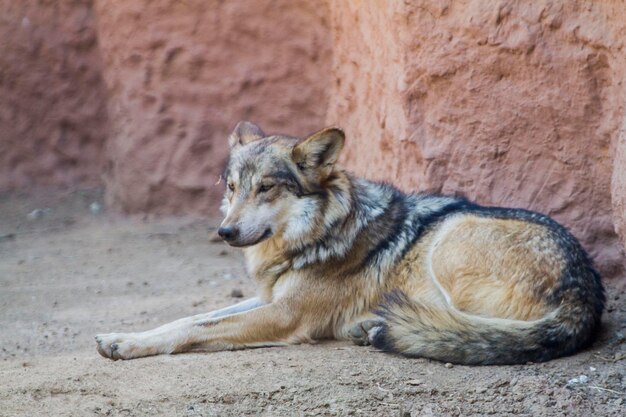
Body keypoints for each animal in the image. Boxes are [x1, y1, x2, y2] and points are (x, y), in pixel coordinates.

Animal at [95, 120, 604, 364]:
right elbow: (188, 318)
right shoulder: (271, 298)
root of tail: (589, 291)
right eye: (232, 188)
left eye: (267, 189)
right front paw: (124, 339)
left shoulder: (285, 315)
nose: (225, 232)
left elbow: (193, 329)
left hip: (452, 238)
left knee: (472, 329)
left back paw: (381, 327)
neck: (319, 232)